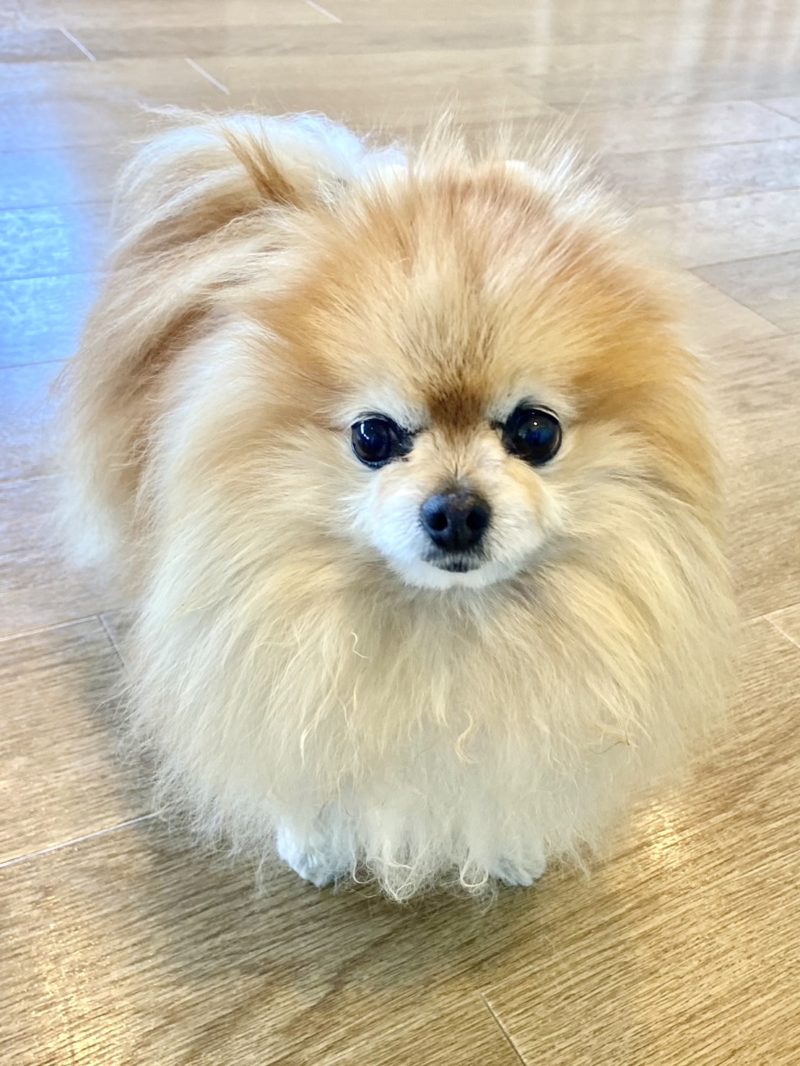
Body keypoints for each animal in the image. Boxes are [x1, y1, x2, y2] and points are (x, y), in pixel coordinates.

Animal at [62, 114, 733, 900]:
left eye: (537, 432)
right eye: (373, 436)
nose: (456, 509)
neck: (446, 627)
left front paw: (515, 842)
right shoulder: (265, 657)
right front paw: (313, 841)